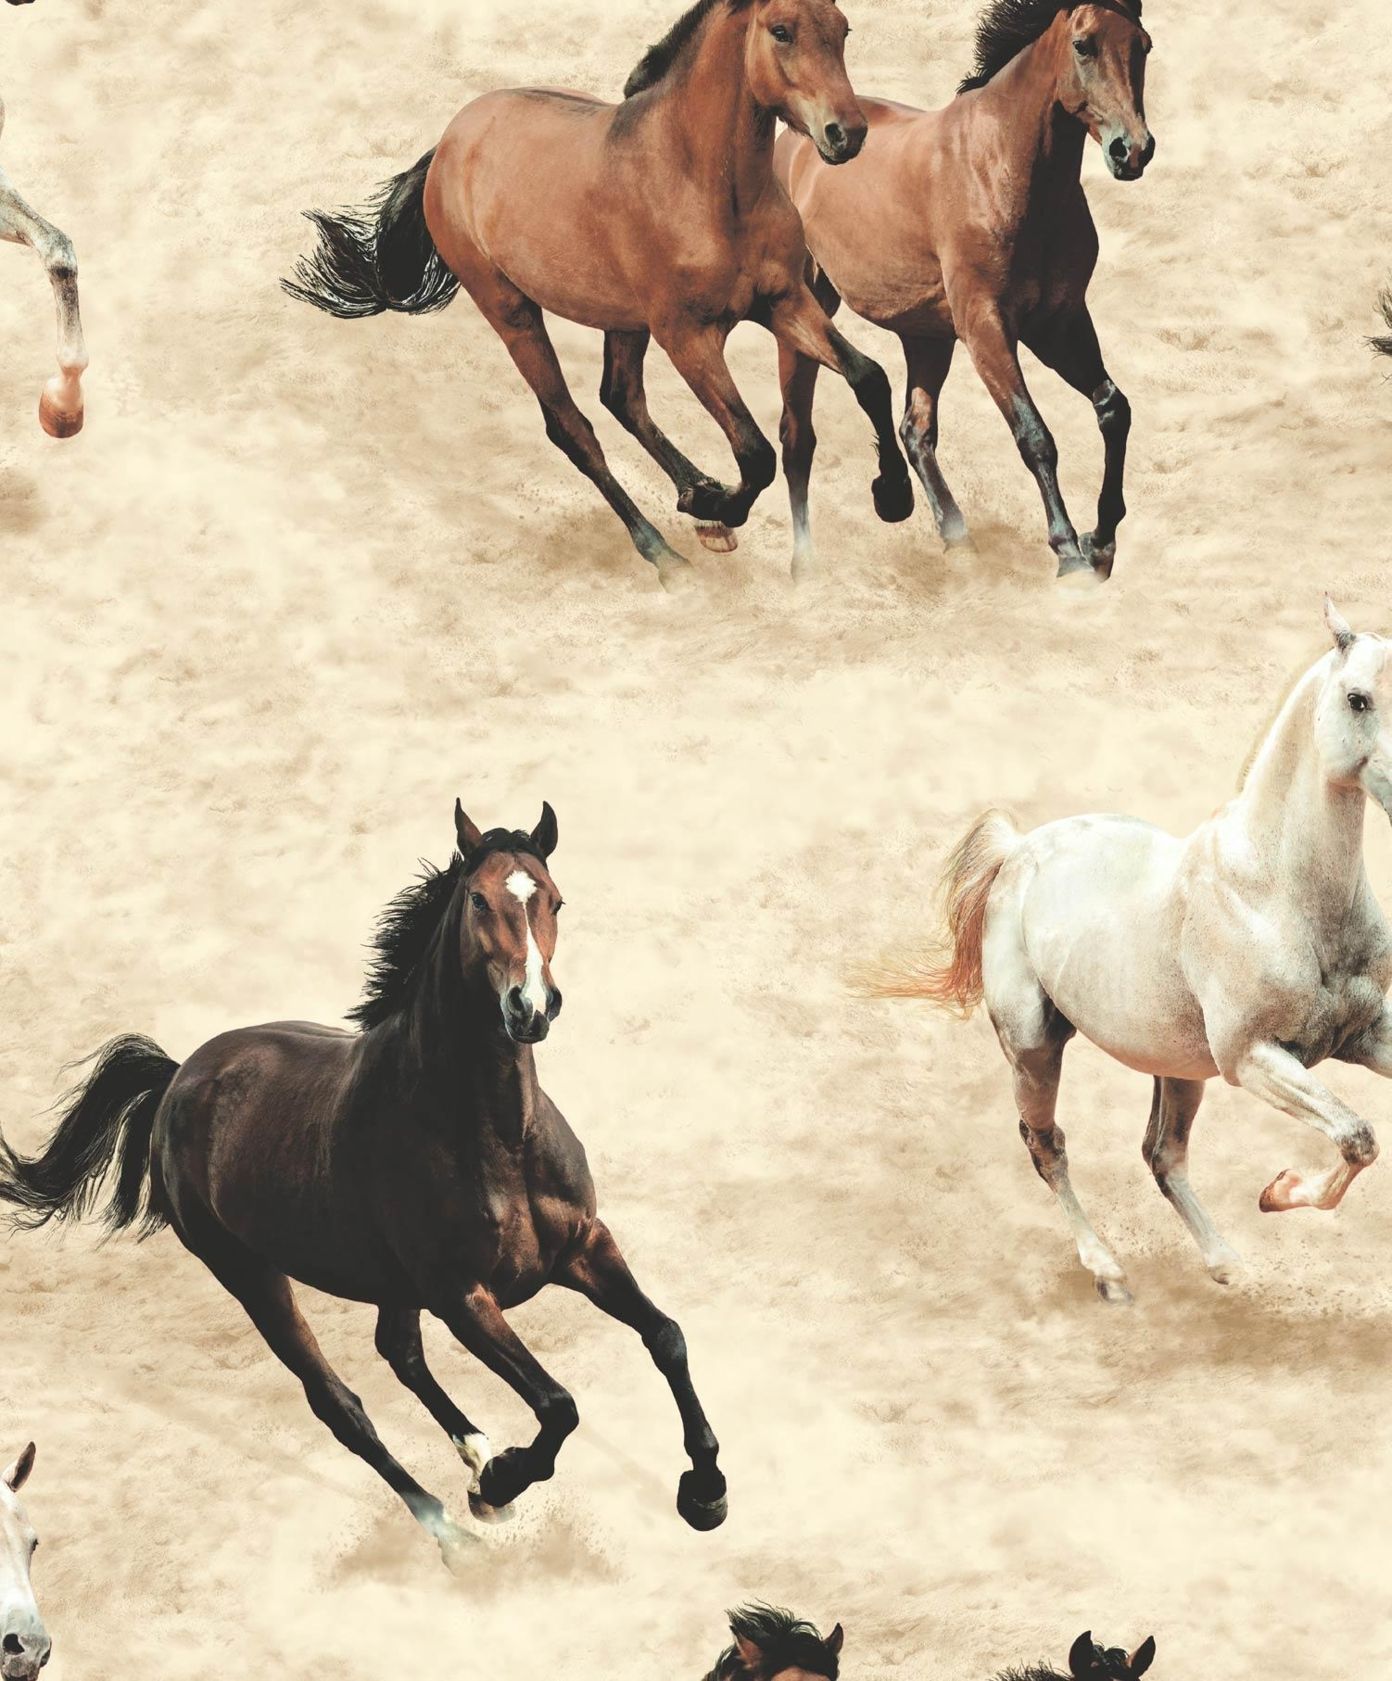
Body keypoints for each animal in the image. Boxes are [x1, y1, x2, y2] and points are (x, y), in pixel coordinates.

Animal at [0, 802, 727, 1564]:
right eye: (478, 899)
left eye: (554, 899)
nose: (531, 1008)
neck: (495, 1133)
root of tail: (177, 1078)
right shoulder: (462, 1296)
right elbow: (558, 1405)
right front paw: (504, 1478)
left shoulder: (585, 1245)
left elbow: (667, 1336)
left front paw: (705, 1490)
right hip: (250, 1273)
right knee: (340, 1405)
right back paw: (455, 1525)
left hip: (387, 1281)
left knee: (398, 1353)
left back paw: (476, 1456)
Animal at [283, 0, 913, 588]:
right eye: (781, 30)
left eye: (843, 28)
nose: (847, 134)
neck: (702, 182)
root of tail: (447, 144)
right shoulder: (687, 335)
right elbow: (755, 452)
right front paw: (714, 507)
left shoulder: (783, 301)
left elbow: (870, 377)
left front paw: (893, 497)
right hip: (512, 313)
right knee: (574, 429)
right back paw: (666, 550)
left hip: (623, 320)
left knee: (621, 397)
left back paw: (696, 495)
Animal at [773, 0, 1154, 580]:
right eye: (1083, 44)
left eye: (1144, 46)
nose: (1131, 151)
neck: (1001, 169)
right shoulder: (986, 328)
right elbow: (1034, 435)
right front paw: (1069, 552)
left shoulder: (1059, 323)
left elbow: (1113, 409)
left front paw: (1102, 542)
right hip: (809, 308)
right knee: (798, 435)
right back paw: (807, 564)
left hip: (926, 336)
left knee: (915, 430)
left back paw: (954, 537)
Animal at [862, 599, 1392, 1304]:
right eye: (1358, 698)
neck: (1277, 891)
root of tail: (1019, 850)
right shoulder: (1252, 1058)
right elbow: (1357, 1136)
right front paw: (1277, 1192)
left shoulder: (1365, 1033)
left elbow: (1354, 1137)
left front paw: (1270, 1199)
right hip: (1035, 1050)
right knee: (1047, 1145)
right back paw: (1109, 1273)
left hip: (1178, 1067)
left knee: (1162, 1155)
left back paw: (1227, 1265)